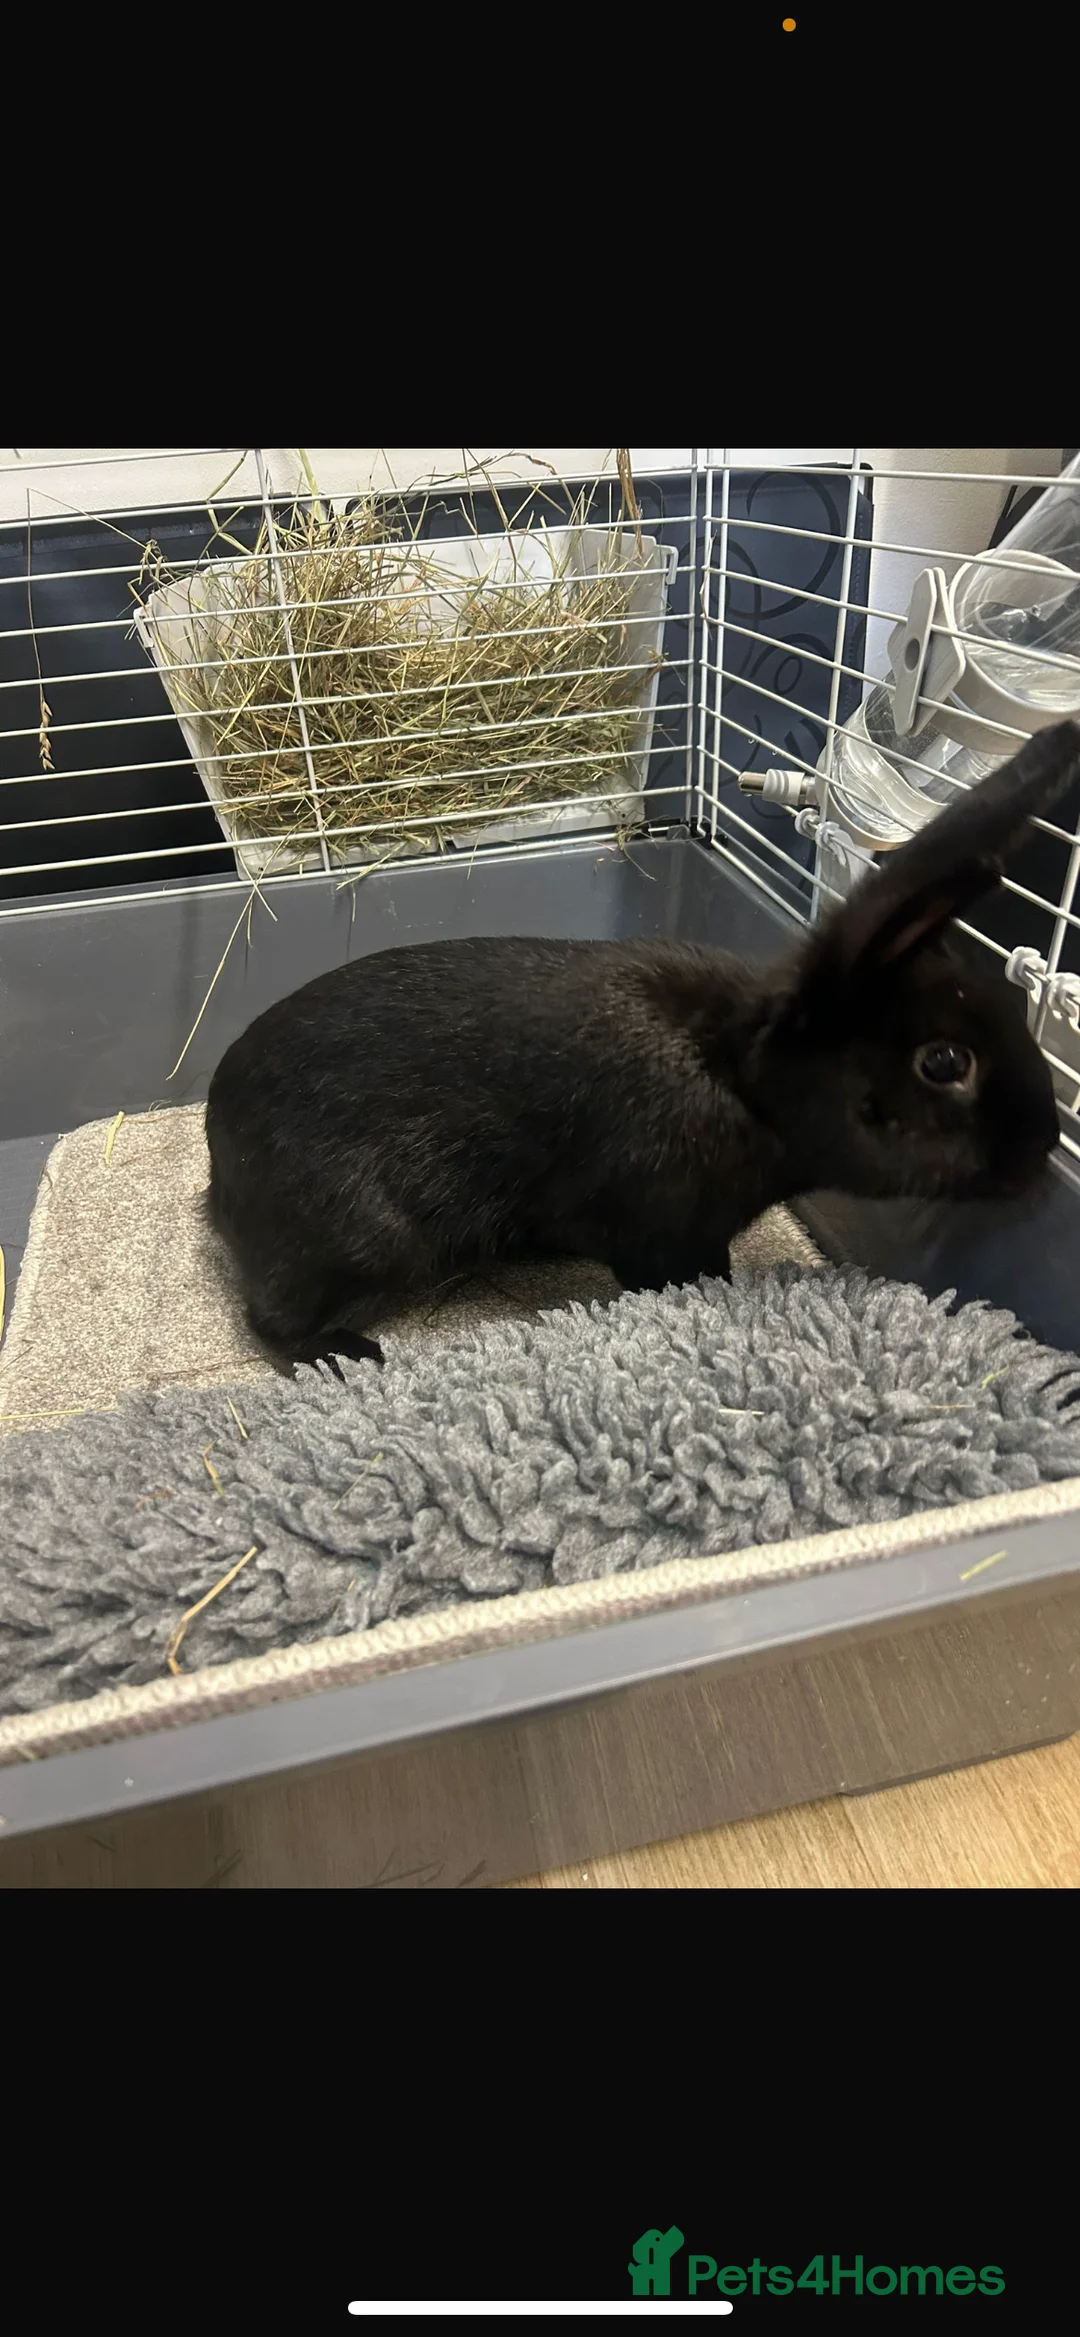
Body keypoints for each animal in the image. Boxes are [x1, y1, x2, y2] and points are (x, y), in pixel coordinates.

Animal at [205, 719, 1080, 1374]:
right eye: (945, 1062)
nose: (1042, 1148)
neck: (739, 1076)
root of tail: (219, 1160)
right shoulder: (654, 1230)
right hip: (364, 1242)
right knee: (270, 1319)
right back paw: (349, 1355)